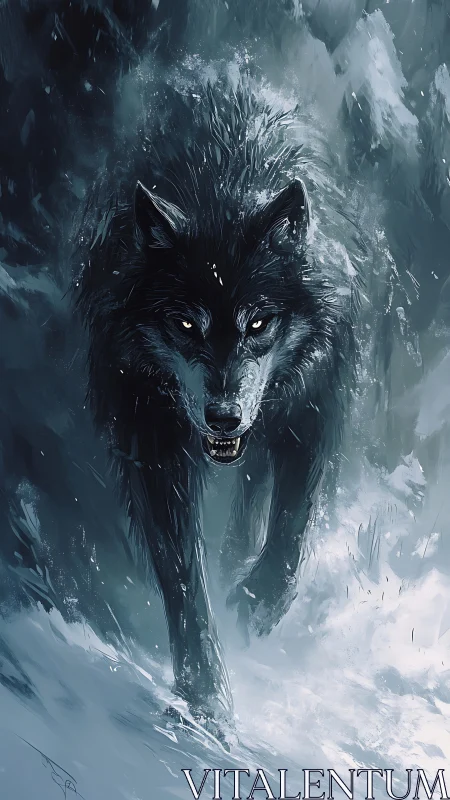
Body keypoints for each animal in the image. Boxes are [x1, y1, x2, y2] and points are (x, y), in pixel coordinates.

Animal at [74, 69, 359, 722]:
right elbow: (182, 575)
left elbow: (292, 525)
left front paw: (257, 605)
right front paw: (205, 691)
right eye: (185, 325)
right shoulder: (149, 438)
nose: (224, 418)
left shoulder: (315, 407)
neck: (222, 184)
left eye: (258, 322)